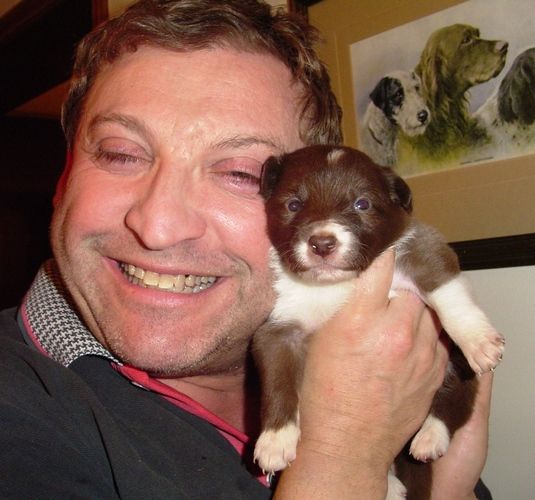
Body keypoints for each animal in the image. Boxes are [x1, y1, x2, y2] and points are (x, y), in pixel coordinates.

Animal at [252, 145, 505, 499]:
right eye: (293, 204)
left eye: (362, 204)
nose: (322, 243)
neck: (338, 283)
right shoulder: (281, 324)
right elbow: (277, 377)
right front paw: (275, 440)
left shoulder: (423, 250)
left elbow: (446, 292)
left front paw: (478, 341)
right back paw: (393, 484)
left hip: (456, 371)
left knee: (456, 399)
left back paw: (429, 437)